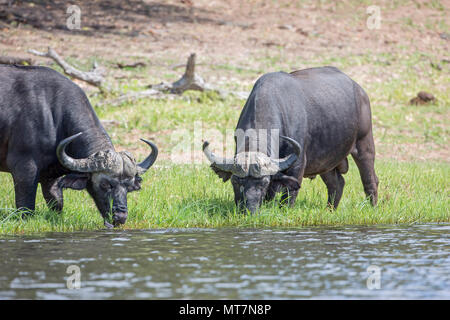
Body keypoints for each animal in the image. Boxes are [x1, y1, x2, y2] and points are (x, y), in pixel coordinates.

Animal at [0, 63, 158, 226]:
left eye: (129, 187)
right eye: (105, 184)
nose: (120, 217)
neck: (53, 116)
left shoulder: (51, 178)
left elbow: (57, 203)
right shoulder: (24, 169)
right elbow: (26, 206)